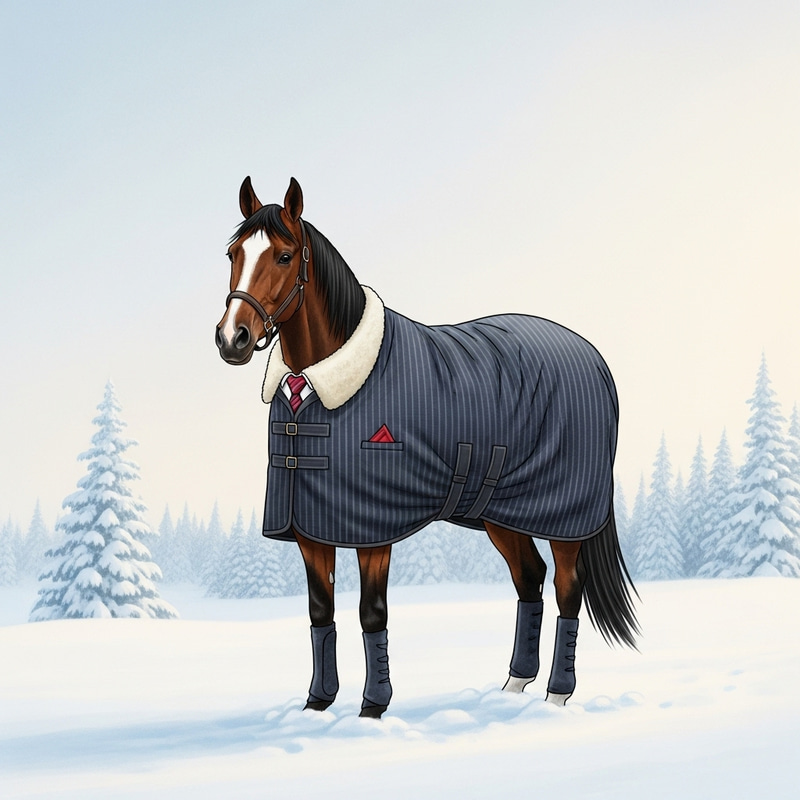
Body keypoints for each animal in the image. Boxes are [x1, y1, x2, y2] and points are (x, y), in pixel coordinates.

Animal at [215, 177, 639, 718]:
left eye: (285, 256)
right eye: (233, 254)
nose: (232, 338)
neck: (321, 387)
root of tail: (596, 360)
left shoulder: (374, 532)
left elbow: (371, 613)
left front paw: (372, 707)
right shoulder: (311, 528)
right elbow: (320, 612)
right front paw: (317, 704)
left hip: (564, 517)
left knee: (567, 587)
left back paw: (557, 694)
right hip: (500, 514)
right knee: (530, 579)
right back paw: (513, 686)